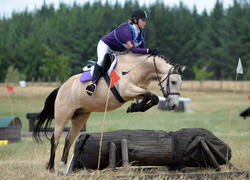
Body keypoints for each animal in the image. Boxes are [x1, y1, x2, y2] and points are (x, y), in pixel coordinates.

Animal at [32, 52, 186, 171]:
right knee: (55, 138)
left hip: (80, 117)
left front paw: (134, 108)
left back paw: (63, 167)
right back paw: (51, 167)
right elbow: (150, 96)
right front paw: (133, 108)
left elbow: (152, 97)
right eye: (173, 82)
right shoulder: (126, 91)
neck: (135, 69)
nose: (173, 105)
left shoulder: (135, 91)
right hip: (63, 115)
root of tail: (62, 87)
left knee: (69, 139)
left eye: (180, 83)